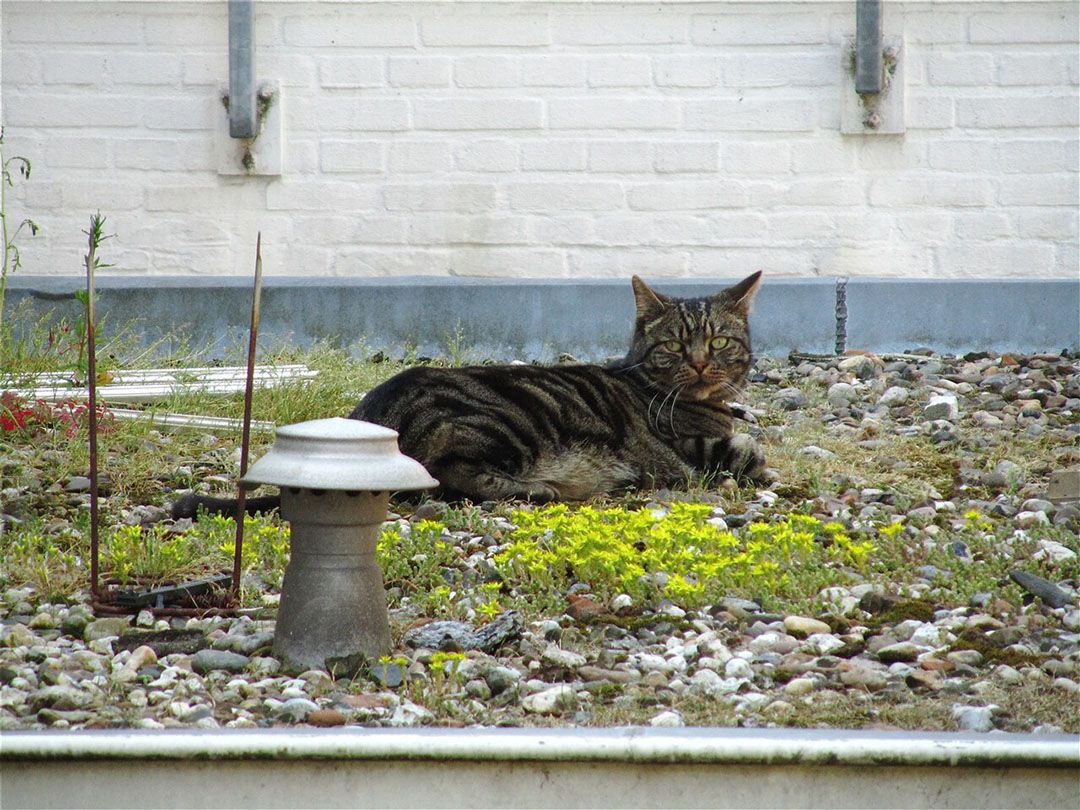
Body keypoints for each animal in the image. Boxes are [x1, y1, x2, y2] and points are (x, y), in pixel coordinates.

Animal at [170, 270, 768, 516]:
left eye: (718, 342)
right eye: (675, 345)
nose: (699, 364)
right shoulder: (694, 448)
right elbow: (747, 454)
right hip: (501, 423)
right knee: (450, 479)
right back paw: (545, 488)